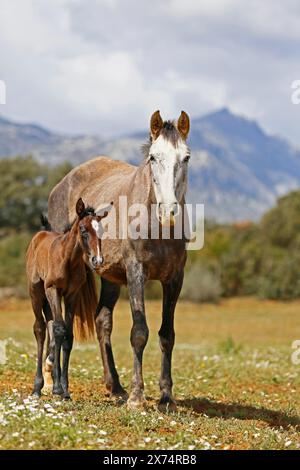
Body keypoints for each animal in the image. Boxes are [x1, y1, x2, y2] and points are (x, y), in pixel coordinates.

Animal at [26, 196, 110, 398]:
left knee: (50, 326)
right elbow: (59, 330)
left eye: (101, 231)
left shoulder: (72, 294)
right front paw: (57, 388)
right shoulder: (53, 289)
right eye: (83, 230)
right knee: (40, 328)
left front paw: (64, 389)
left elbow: (68, 335)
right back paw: (37, 387)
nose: (97, 260)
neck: (68, 259)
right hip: (37, 292)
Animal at [48, 109, 191, 408]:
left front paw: (166, 397)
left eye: (186, 157)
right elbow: (139, 333)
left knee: (102, 322)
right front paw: (137, 397)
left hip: (111, 278)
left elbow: (167, 334)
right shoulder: (136, 272)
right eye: (153, 157)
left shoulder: (175, 278)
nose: (169, 211)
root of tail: (62, 183)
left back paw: (114, 386)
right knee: (54, 322)